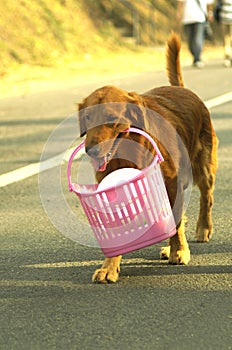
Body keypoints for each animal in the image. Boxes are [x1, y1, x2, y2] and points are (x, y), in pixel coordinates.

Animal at [77, 32, 218, 284]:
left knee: (206, 198)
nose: (90, 150)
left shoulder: (172, 182)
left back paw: (203, 228)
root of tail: (182, 89)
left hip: (203, 166)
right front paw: (109, 267)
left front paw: (179, 250)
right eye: (88, 117)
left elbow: (177, 219)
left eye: (112, 118)